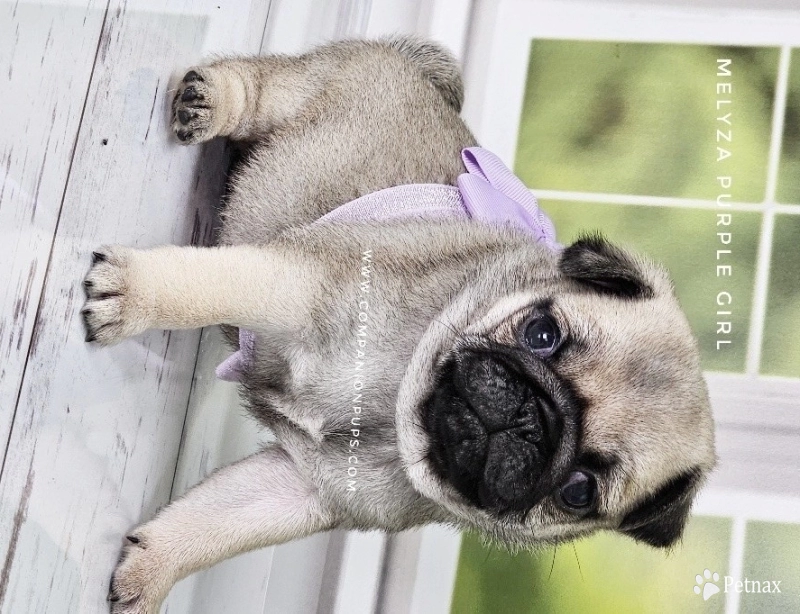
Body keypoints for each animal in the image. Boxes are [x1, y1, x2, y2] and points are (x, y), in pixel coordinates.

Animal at [81, 36, 716, 612]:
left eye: (579, 490)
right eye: (543, 335)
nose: (528, 416)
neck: (395, 406)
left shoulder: (304, 487)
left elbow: (213, 528)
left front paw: (150, 571)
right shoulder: (297, 286)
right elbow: (201, 286)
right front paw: (133, 293)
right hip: (299, 93)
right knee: (257, 86)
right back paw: (210, 100)